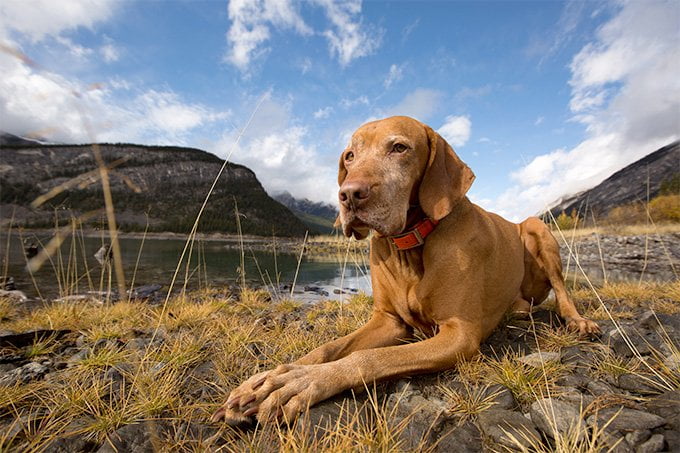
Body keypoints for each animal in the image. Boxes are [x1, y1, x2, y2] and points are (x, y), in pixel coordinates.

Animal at [211, 115, 596, 424]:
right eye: (350, 156)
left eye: (399, 147)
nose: (349, 194)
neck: (409, 244)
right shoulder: (388, 321)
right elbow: (328, 348)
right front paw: (272, 378)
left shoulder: (459, 334)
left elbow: (367, 358)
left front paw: (304, 382)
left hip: (536, 226)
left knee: (561, 289)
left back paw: (578, 320)